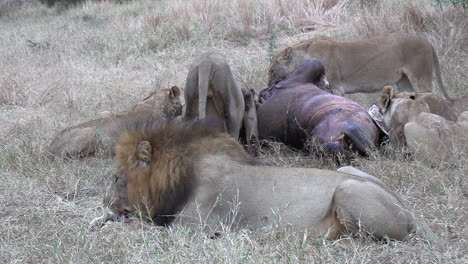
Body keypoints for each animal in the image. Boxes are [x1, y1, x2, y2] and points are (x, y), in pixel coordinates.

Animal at [91, 117, 420, 241]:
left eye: (116, 177)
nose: (105, 200)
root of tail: (407, 211)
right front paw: (98, 219)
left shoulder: (194, 227)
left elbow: (141, 226)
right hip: (347, 172)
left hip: (348, 189)